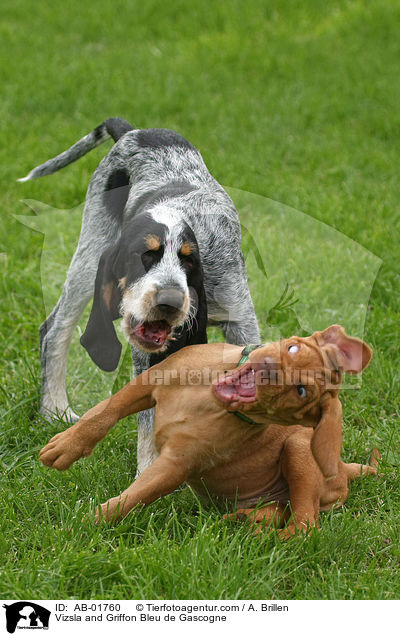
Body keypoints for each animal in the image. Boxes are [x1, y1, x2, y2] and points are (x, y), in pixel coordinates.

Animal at [19, 118, 260, 472]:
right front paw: (147, 474)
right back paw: (54, 410)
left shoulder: (241, 322)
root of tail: (133, 130)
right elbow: (148, 423)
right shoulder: (146, 356)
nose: (168, 302)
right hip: (90, 257)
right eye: (139, 258)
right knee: (53, 329)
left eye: (188, 259)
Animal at [39, 322, 380, 536]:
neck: (207, 401)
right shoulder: (149, 380)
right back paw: (236, 522)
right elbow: (103, 412)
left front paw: (77, 527)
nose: (268, 368)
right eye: (293, 349)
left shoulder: (175, 466)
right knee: (277, 513)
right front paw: (67, 445)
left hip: (299, 448)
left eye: (301, 391)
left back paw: (275, 539)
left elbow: (127, 500)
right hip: (274, 493)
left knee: (305, 524)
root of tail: (344, 468)